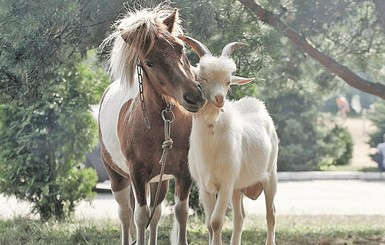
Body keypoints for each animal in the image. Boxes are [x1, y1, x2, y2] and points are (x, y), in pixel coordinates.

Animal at [99, 6, 206, 244]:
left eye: (180, 48)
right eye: (149, 62)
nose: (194, 97)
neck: (163, 125)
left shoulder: (183, 174)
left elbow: (180, 213)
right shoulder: (137, 175)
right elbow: (140, 216)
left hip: (160, 180)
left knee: (155, 214)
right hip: (117, 177)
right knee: (125, 214)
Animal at [180, 36, 276, 245]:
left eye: (228, 81)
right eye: (201, 78)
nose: (219, 99)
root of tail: (258, 105)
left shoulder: (226, 182)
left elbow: (216, 222)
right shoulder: (204, 187)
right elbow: (209, 224)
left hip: (270, 176)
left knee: (270, 214)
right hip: (238, 189)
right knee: (240, 217)